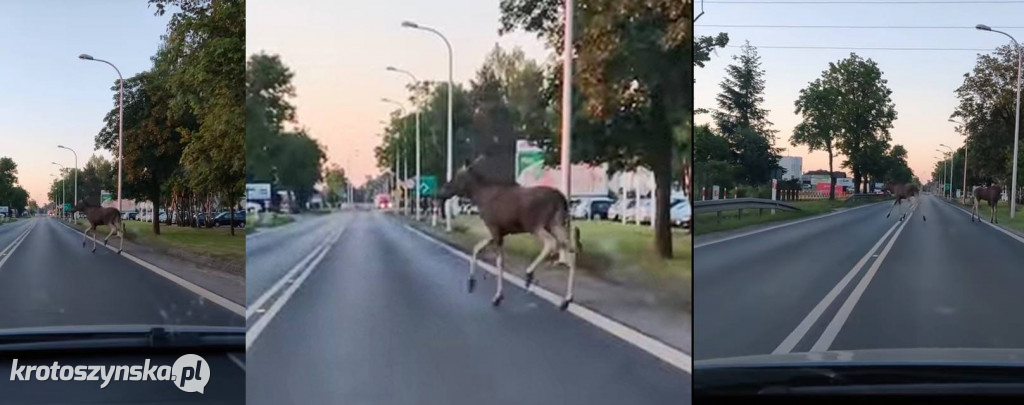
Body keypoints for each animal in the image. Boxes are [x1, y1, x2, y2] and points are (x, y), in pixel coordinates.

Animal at [436, 156, 577, 308]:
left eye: (457, 175)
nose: (441, 191)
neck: (479, 197)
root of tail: (562, 199)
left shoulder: (494, 228)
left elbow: (499, 262)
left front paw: (498, 296)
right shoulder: (498, 231)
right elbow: (476, 248)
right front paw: (471, 282)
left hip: (536, 224)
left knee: (551, 243)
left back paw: (529, 273)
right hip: (555, 224)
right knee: (570, 247)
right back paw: (567, 298)